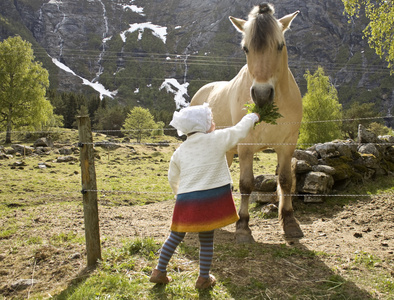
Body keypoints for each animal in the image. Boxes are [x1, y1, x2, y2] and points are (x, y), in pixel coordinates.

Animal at [192, 3, 304, 243]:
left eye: (280, 46)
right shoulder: (245, 147)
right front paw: (243, 227)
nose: (261, 95)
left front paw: (289, 222)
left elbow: (285, 181)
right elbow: (246, 184)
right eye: (246, 48)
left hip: (225, 153)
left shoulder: (287, 145)